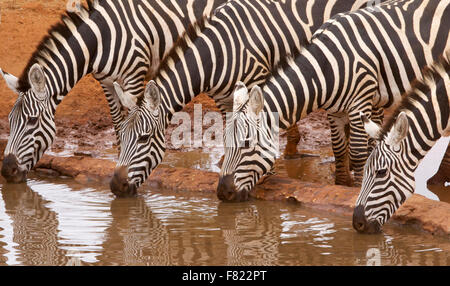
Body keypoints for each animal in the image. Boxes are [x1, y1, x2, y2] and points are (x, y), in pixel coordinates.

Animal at [0, 0, 225, 183]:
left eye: (31, 120)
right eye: (9, 120)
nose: (7, 170)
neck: (101, 39)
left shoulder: (134, 77)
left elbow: (132, 119)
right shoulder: (106, 83)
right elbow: (117, 122)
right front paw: (120, 156)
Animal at [109, 0, 380, 198]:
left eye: (143, 139)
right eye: (121, 137)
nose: (115, 187)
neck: (217, 54)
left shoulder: (256, 81)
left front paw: (265, 172)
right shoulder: (224, 98)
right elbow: (231, 130)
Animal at [216, 0, 448, 201]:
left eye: (247, 144)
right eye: (225, 142)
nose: (222, 193)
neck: (325, 68)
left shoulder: (360, 103)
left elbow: (356, 153)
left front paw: (355, 188)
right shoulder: (335, 110)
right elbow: (338, 149)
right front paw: (341, 185)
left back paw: (439, 179)